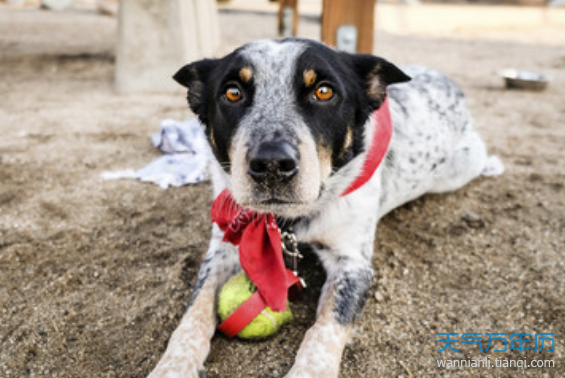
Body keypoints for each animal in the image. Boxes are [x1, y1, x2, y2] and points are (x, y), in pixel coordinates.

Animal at [147, 39, 498, 378]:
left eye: (324, 91)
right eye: (232, 92)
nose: (272, 163)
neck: (288, 222)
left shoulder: (352, 264)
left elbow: (325, 328)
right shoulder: (222, 247)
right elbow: (194, 311)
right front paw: (171, 367)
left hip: (462, 166)